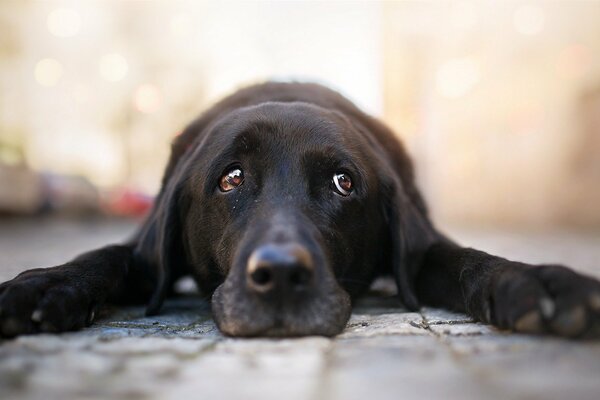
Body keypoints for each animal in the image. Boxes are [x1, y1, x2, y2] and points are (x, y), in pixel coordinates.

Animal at [1, 83, 600, 338]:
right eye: (231, 178)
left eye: (343, 182)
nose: (283, 276)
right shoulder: (143, 254)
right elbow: (105, 255)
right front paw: (42, 286)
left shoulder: (425, 249)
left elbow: (468, 259)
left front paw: (540, 282)